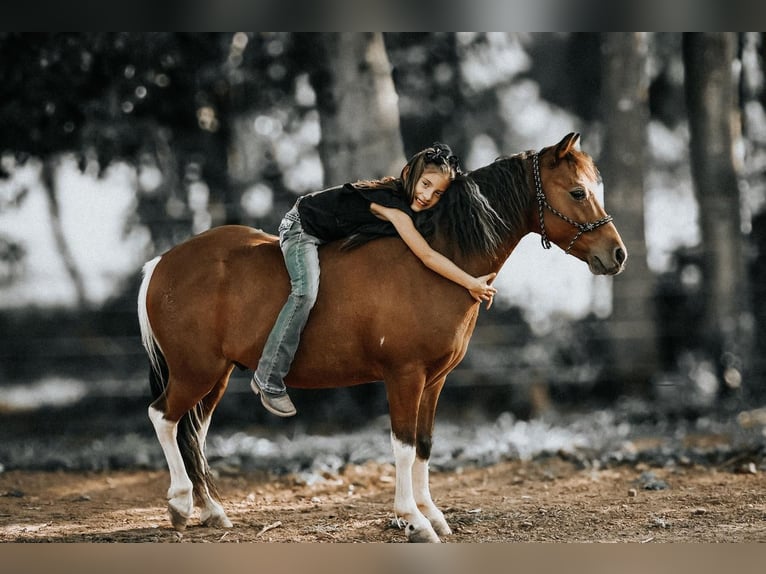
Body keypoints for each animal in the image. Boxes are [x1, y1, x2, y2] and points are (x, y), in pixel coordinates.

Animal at [138, 134, 632, 544]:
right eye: (578, 192)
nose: (617, 254)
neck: (438, 260)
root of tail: (162, 263)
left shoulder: (434, 381)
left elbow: (425, 445)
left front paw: (433, 515)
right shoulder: (404, 376)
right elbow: (403, 446)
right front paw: (413, 520)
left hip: (215, 376)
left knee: (193, 432)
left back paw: (212, 512)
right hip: (195, 372)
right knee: (163, 418)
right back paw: (180, 504)